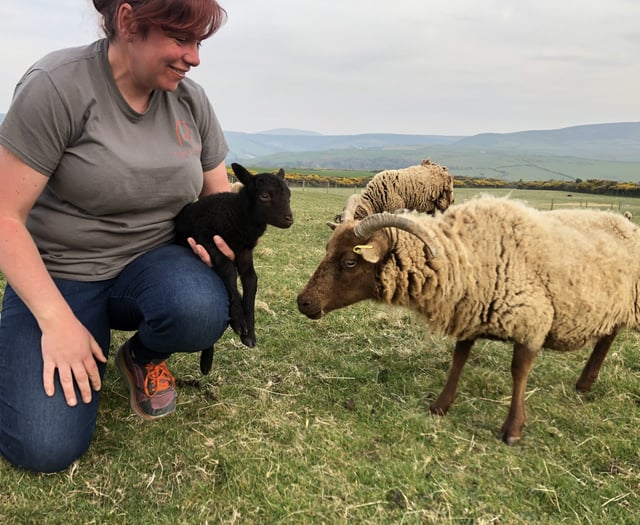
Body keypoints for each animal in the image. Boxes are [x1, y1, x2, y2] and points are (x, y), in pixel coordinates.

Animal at [175, 163, 296, 372]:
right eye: (265, 195)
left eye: (289, 195)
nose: (289, 219)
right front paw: (240, 321)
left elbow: (251, 280)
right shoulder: (209, 241)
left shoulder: (244, 252)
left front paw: (249, 334)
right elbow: (229, 272)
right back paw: (207, 359)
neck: (238, 214)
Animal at [296, 195, 640, 442]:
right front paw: (440, 406)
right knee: (608, 336)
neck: (467, 253)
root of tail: (626, 224)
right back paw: (585, 382)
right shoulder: (471, 313)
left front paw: (513, 429)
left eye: (350, 261)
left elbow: (518, 371)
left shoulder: (532, 320)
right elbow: (459, 358)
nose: (303, 302)